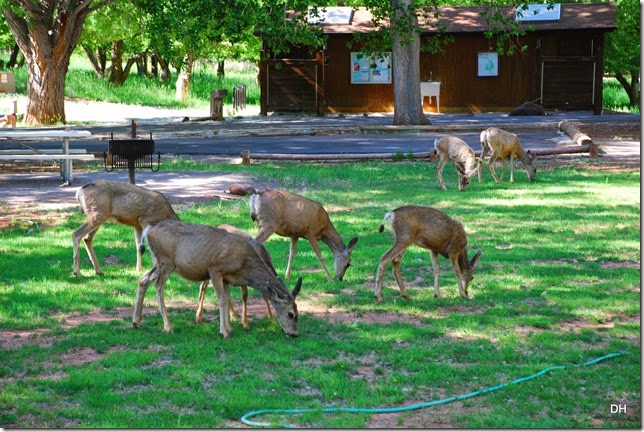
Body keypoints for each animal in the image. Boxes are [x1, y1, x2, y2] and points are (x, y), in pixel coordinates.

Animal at [136, 221, 302, 340]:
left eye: (297, 311)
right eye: (290, 314)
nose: (294, 334)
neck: (244, 263)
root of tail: (148, 230)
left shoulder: (227, 278)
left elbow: (227, 298)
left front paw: (230, 328)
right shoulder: (215, 269)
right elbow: (221, 299)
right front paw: (224, 332)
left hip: (158, 263)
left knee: (143, 280)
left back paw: (136, 321)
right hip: (166, 262)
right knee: (158, 287)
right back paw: (168, 327)